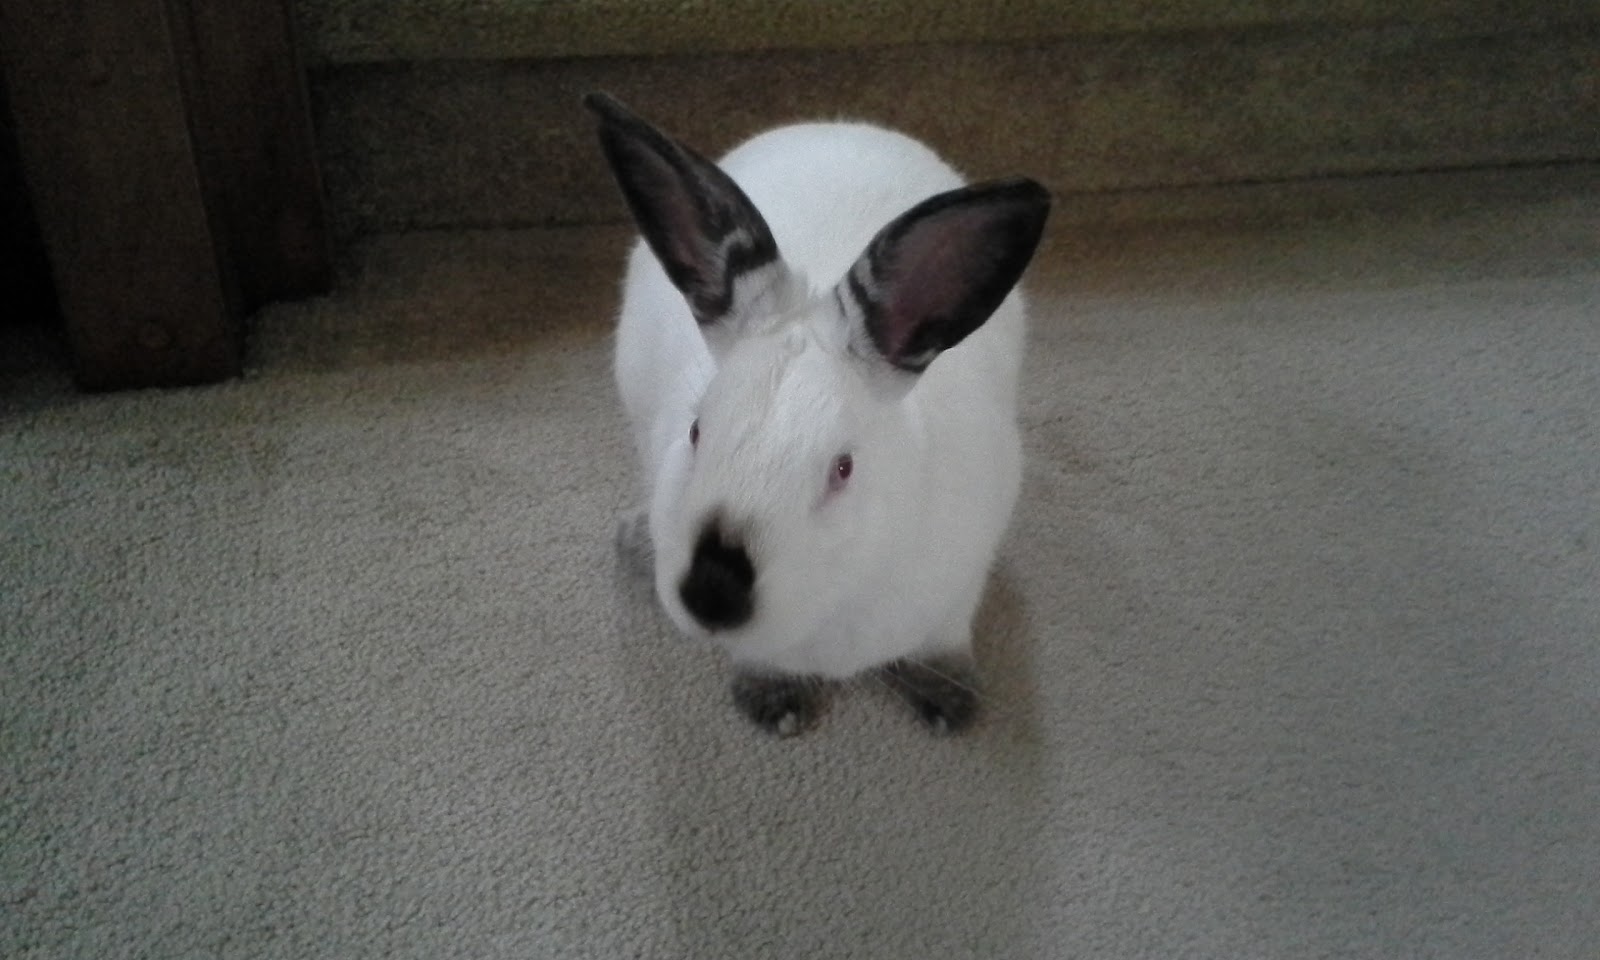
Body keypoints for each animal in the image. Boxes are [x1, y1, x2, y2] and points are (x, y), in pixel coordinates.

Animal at [585, 93, 1049, 737]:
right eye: (696, 430)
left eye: (843, 467)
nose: (712, 596)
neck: (829, 611)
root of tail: (833, 125)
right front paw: (775, 705)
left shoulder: (958, 591)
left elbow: (942, 642)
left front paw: (951, 702)